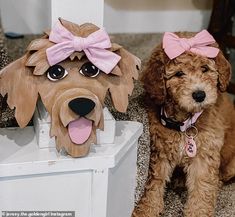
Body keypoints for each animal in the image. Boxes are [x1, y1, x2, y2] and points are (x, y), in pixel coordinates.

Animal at [132, 31, 235, 217]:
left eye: (205, 69)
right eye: (179, 74)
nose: (200, 95)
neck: (185, 121)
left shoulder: (204, 154)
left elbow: (203, 187)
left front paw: (198, 212)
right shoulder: (160, 152)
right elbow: (153, 183)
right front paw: (146, 209)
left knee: (222, 176)